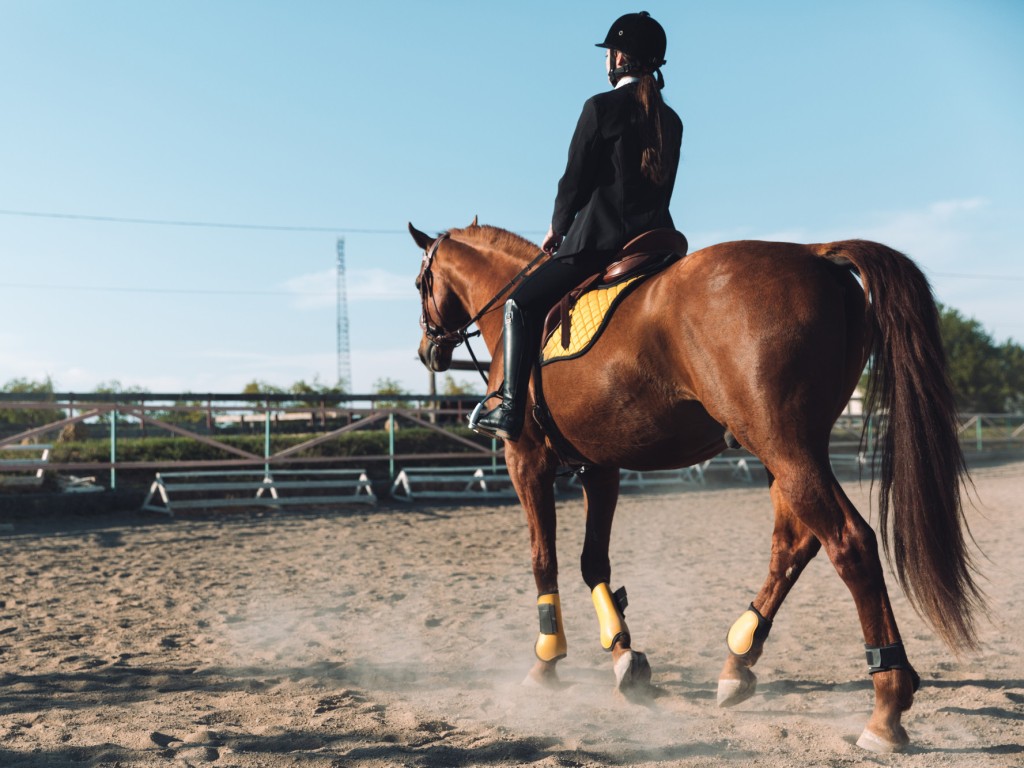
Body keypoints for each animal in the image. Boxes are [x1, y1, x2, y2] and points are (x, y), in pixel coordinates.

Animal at [403, 219, 978, 753]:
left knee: (848, 543)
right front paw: (623, 656)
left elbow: (544, 559)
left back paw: (885, 709)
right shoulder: (600, 468)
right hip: (789, 449)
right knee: (794, 545)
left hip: (782, 445)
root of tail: (814, 253)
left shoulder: (525, 460)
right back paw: (738, 662)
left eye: (419, 282)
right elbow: (594, 563)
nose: (427, 350)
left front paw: (547, 662)